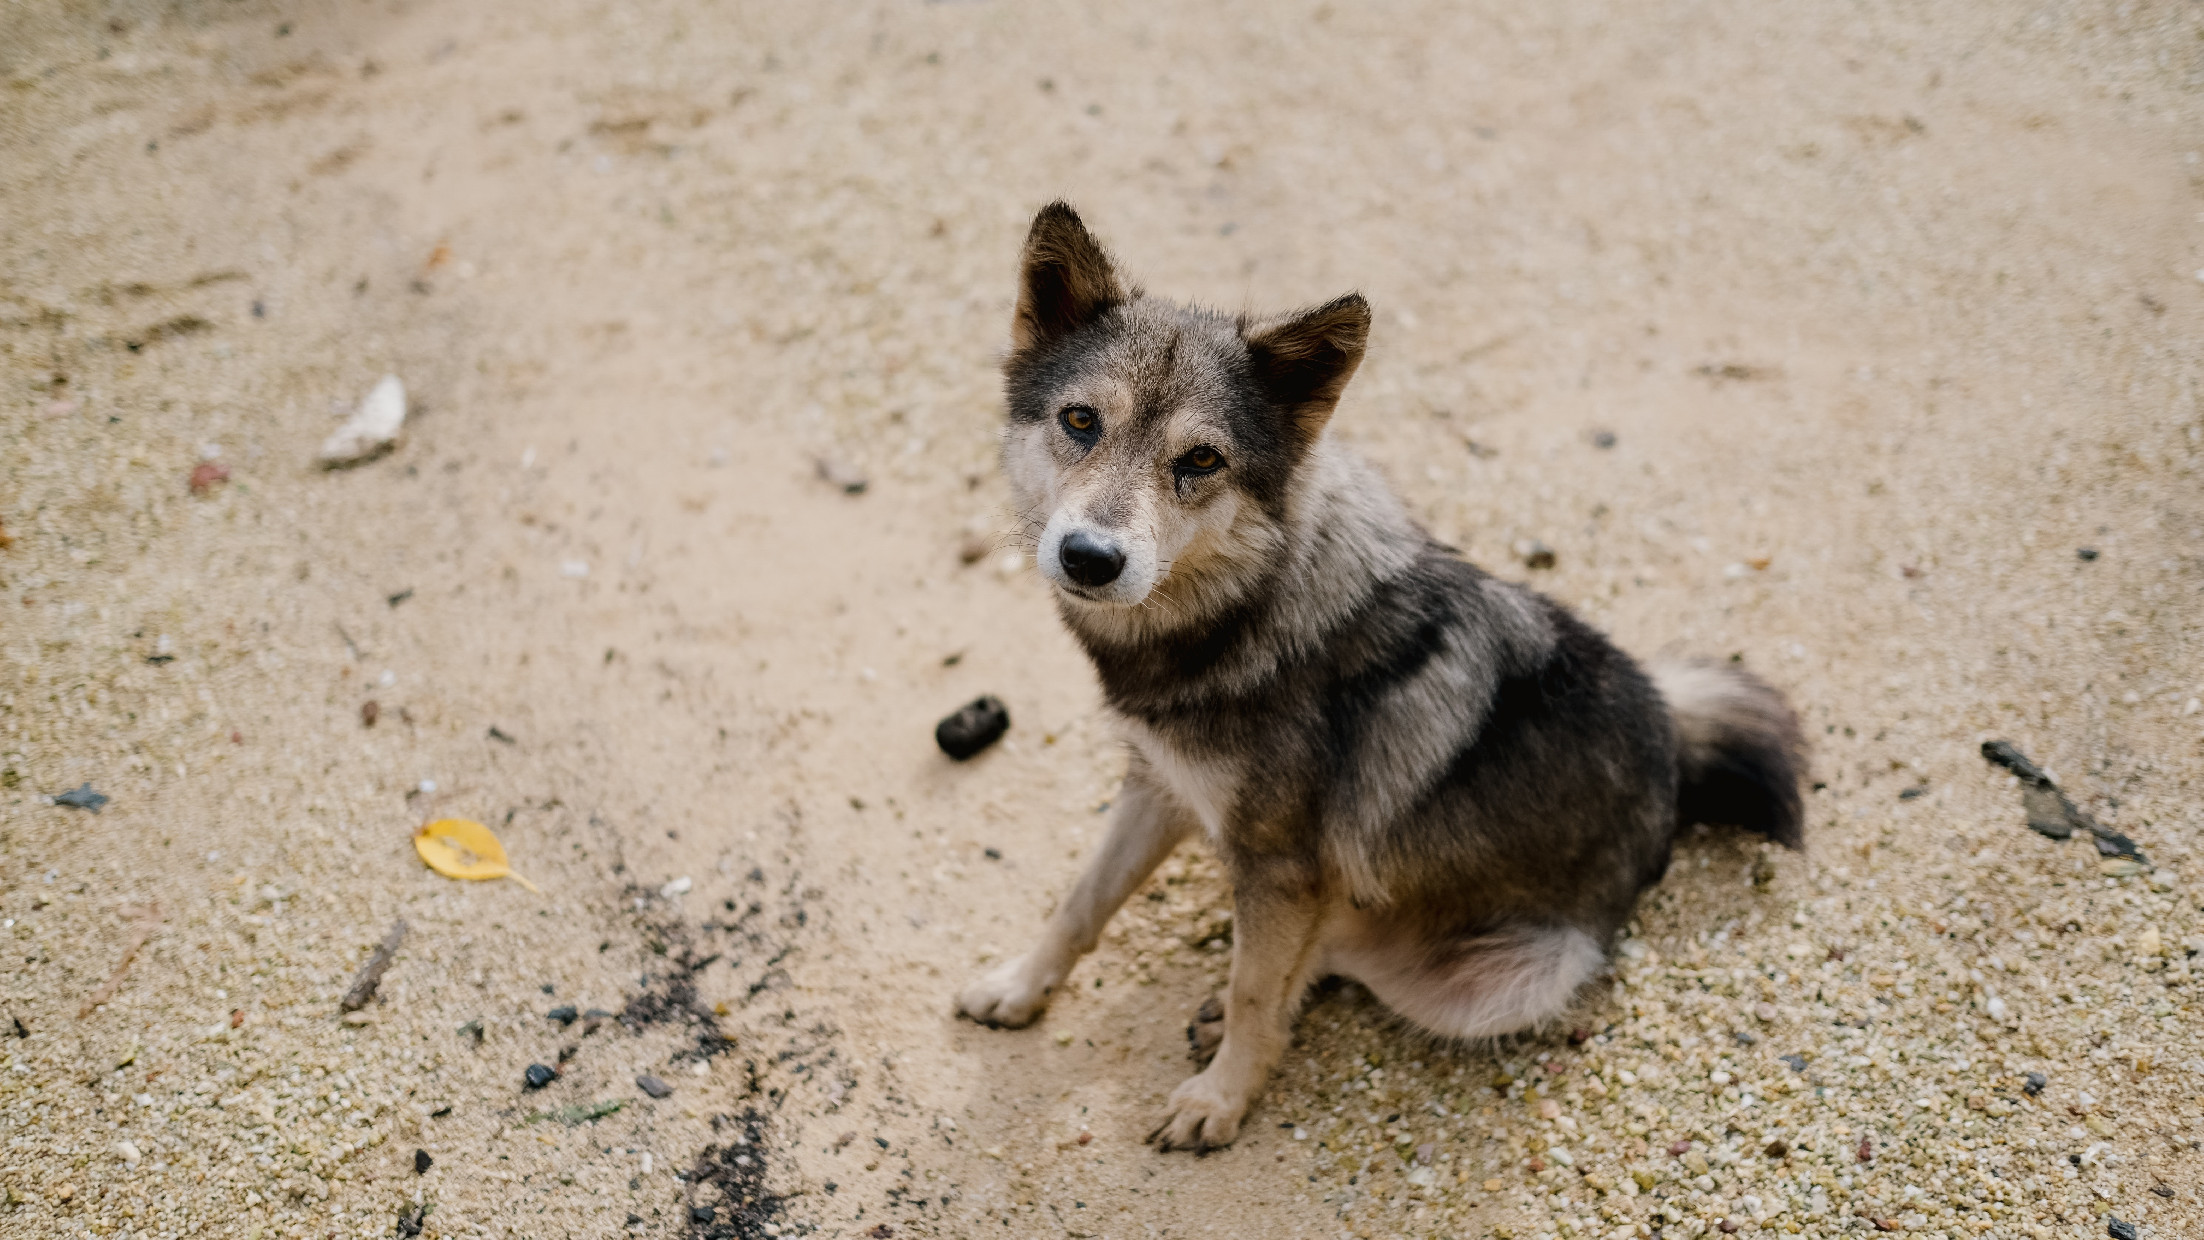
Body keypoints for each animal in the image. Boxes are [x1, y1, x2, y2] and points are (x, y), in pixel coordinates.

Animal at [952, 205, 1807, 1154]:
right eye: (1079, 420)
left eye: (1202, 461)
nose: (1090, 558)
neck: (1249, 608)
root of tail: (1671, 742)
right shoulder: (1159, 787)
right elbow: (1081, 903)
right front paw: (1020, 986)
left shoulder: (1278, 863)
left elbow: (1255, 989)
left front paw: (1221, 1100)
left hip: (1511, 982)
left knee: (1338, 947)